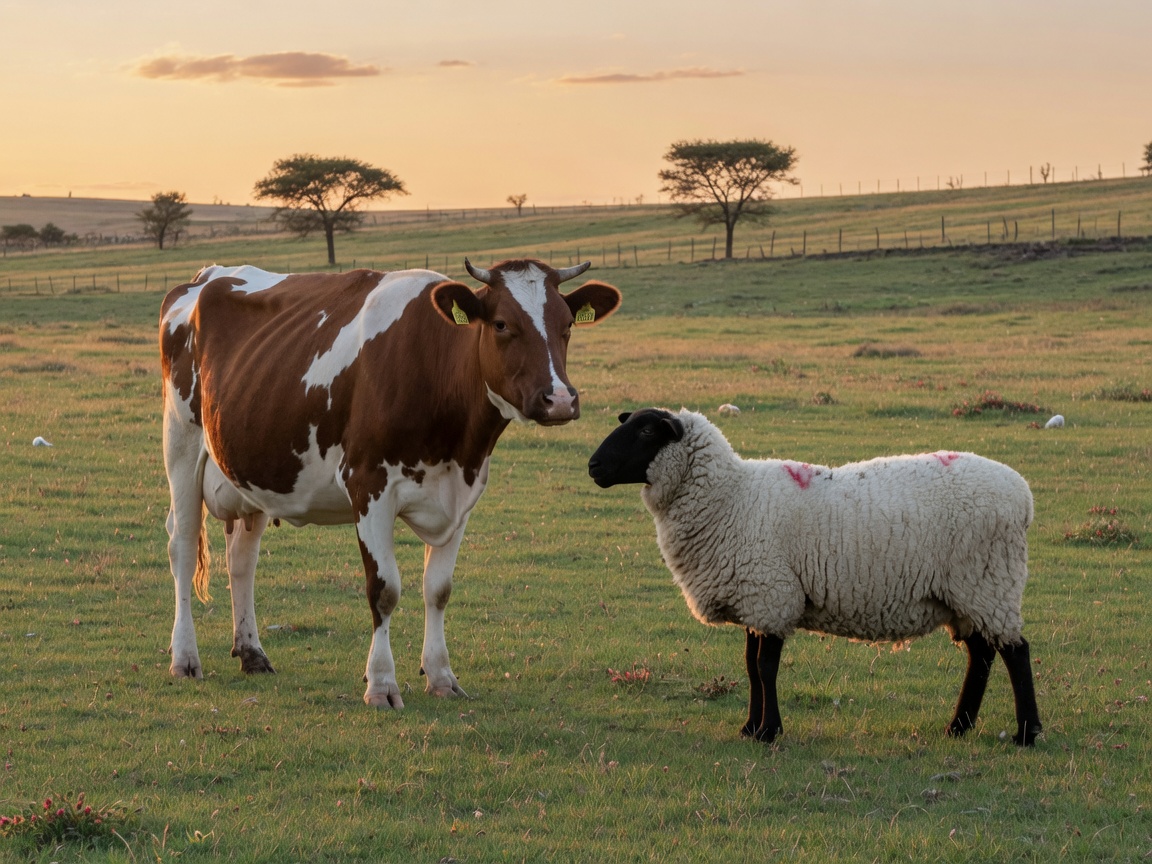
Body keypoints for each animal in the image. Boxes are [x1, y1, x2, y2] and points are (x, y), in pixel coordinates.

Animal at [160, 258, 621, 707]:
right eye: (502, 324)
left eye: (567, 324)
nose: (559, 400)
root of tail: (207, 275)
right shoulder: (369, 486)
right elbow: (384, 591)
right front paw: (381, 684)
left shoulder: (461, 495)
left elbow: (438, 589)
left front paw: (441, 677)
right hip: (181, 444)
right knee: (182, 546)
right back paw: (184, 658)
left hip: (251, 468)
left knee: (242, 559)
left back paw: (252, 653)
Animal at [587, 408, 1042, 746]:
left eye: (647, 430)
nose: (593, 465)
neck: (731, 497)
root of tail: (1023, 494)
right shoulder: (756, 598)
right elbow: (750, 666)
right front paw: (750, 727)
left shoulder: (771, 594)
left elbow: (764, 667)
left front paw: (768, 731)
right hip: (967, 593)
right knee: (982, 654)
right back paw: (958, 727)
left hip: (988, 581)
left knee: (1015, 652)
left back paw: (1026, 732)